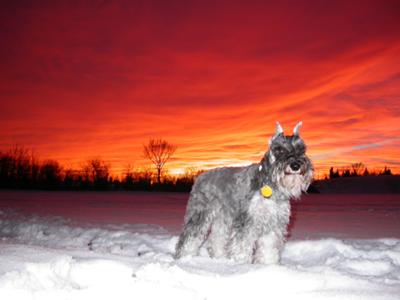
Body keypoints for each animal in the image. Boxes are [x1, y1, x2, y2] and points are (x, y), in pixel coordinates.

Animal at [174, 121, 312, 262]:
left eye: (302, 149)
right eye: (279, 149)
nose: (295, 165)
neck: (271, 186)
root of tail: (200, 177)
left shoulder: (273, 223)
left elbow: (269, 248)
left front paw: (268, 264)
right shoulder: (246, 221)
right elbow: (241, 247)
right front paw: (241, 264)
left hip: (223, 218)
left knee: (217, 239)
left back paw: (219, 259)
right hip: (200, 214)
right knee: (189, 238)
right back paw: (185, 258)